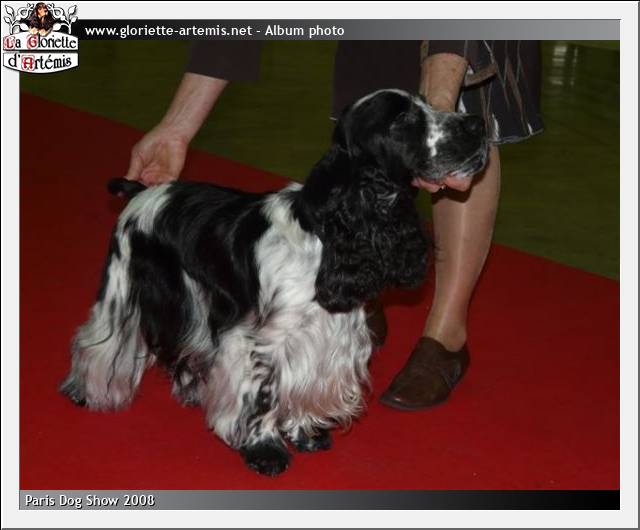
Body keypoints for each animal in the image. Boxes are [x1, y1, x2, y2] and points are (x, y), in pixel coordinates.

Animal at [60, 89, 488, 476]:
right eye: (402, 120)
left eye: (427, 103)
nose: (477, 123)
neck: (326, 232)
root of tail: (142, 190)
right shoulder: (266, 340)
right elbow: (265, 396)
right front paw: (265, 450)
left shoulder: (325, 335)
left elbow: (303, 385)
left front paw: (306, 433)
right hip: (123, 286)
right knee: (98, 339)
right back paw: (85, 390)